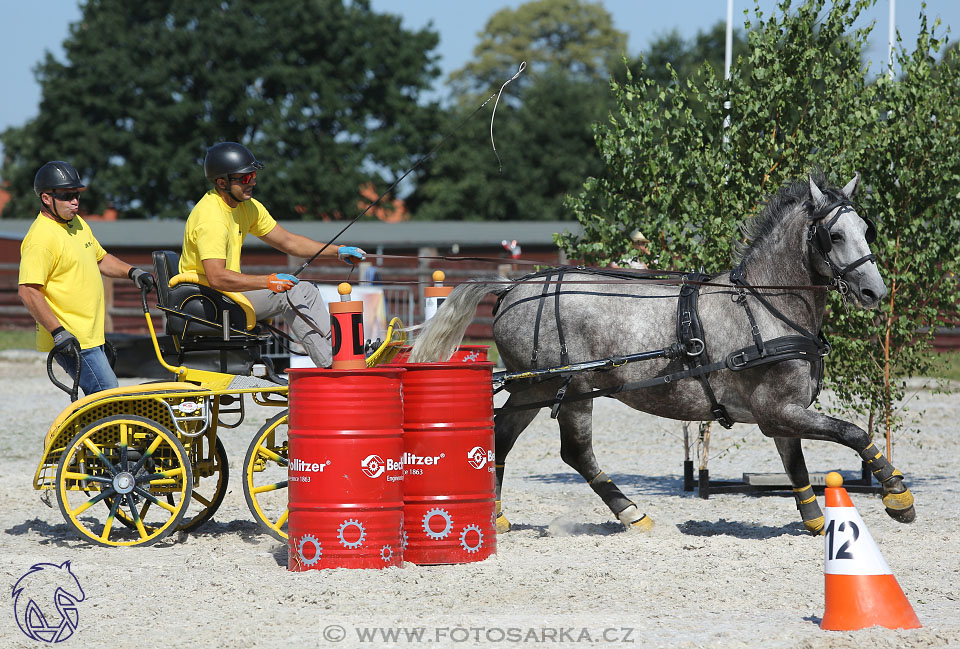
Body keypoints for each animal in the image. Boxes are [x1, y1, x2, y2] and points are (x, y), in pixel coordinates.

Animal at [410, 172, 916, 532]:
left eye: (866, 228)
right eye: (834, 236)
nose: (874, 291)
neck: (765, 305)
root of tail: (513, 287)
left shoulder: (782, 413)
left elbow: (796, 464)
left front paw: (814, 521)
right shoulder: (778, 409)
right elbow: (852, 433)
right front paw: (896, 494)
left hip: (534, 388)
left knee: (500, 436)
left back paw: (496, 516)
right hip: (571, 387)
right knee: (575, 451)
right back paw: (630, 513)